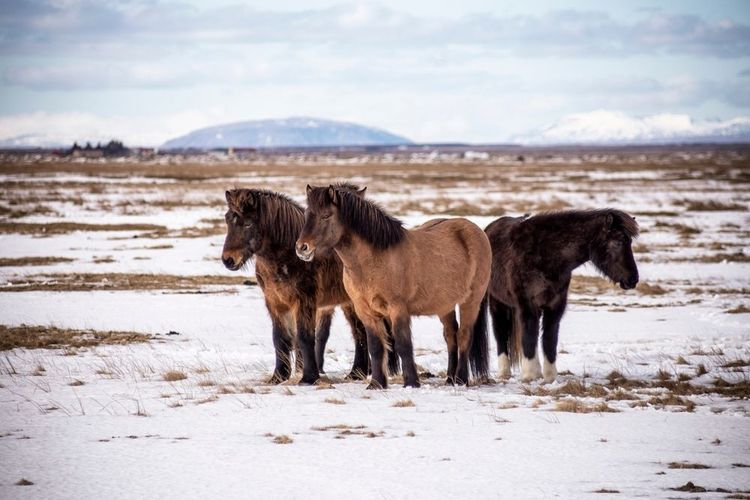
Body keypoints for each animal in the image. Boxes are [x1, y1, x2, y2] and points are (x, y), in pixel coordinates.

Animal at [222, 186, 398, 385]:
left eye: (248, 224)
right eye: (227, 220)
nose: (228, 259)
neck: (286, 257)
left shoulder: (304, 301)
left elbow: (305, 337)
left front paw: (308, 377)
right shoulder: (275, 302)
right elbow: (280, 339)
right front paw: (278, 376)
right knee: (360, 333)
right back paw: (358, 373)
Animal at [296, 184, 491, 389]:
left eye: (326, 215)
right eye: (308, 214)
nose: (302, 248)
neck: (374, 259)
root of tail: (477, 231)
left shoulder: (398, 308)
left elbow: (403, 345)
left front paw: (411, 383)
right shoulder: (365, 311)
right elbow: (376, 346)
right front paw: (376, 383)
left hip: (471, 301)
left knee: (464, 336)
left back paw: (461, 379)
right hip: (445, 306)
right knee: (450, 336)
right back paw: (449, 379)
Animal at [485, 209, 640, 383]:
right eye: (618, 242)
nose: (633, 279)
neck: (544, 253)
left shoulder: (555, 306)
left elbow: (549, 339)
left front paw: (549, 377)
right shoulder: (527, 306)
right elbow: (529, 336)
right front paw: (531, 375)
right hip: (498, 303)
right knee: (501, 334)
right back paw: (504, 373)